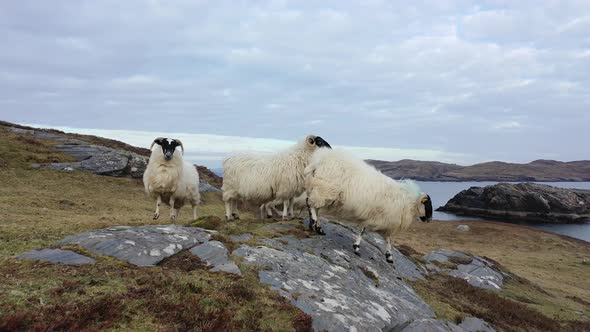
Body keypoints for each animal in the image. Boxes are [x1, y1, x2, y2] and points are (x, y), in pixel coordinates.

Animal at [302, 149, 432, 264]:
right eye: (427, 205)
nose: (429, 220)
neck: (408, 202)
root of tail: (319, 160)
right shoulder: (373, 216)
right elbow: (363, 231)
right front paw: (356, 247)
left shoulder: (384, 222)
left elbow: (388, 240)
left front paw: (389, 257)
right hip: (324, 190)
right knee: (311, 204)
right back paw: (313, 223)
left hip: (322, 192)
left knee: (315, 207)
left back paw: (318, 228)